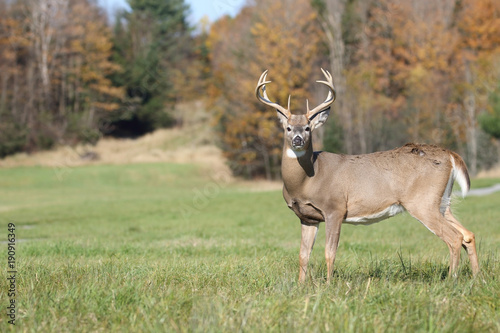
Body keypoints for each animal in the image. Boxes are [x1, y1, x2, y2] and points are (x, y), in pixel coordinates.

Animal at [256, 68, 478, 282]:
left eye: (308, 128)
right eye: (288, 127)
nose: (298, 139)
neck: (308, 180)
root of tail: (451, 155)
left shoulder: (335, 208)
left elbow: (330, 253)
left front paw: (328, 285)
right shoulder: (307, 217)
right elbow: (303, 254)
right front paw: (301, 285)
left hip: (422, 201)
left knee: (454, 237)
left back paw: (451, 279)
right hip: (441, 202)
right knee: (468, 234)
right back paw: (477, 278)